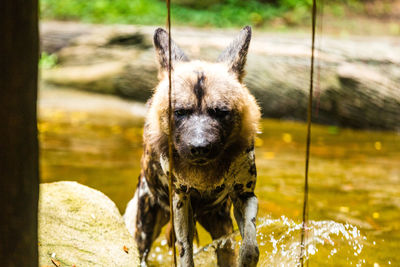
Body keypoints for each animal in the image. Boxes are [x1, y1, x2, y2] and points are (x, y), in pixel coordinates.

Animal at [126, 25, 262, 267]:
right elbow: (185, 253)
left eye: (220, 112)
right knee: (142, 253)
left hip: (220, 224)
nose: (199, 147)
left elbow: (250, 246)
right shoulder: (181, 200)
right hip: (147, 222)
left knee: (226, 248)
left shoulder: (245, 195)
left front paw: (246, 259)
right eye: (180, 112)